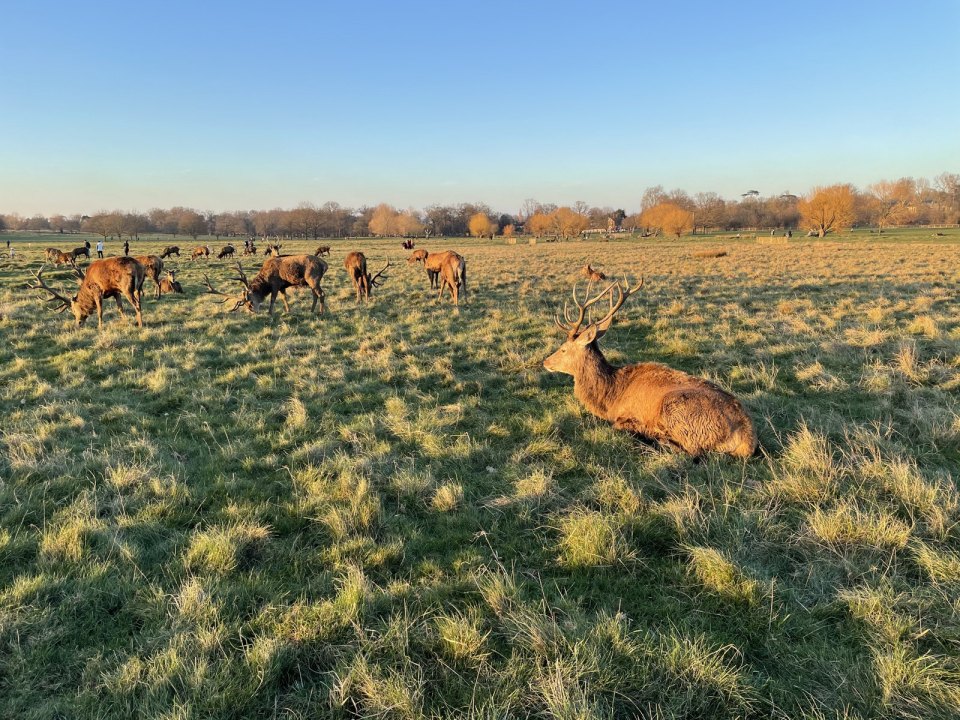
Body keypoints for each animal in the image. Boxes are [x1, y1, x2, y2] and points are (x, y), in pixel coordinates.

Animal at [544, 279, 757, 459]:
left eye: (563, 349)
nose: (545, 361)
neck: (611, 397)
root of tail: (747, 437)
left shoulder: (626, 415)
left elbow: (617, 426)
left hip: (679, 412)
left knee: (693, 451)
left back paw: (658, 438)